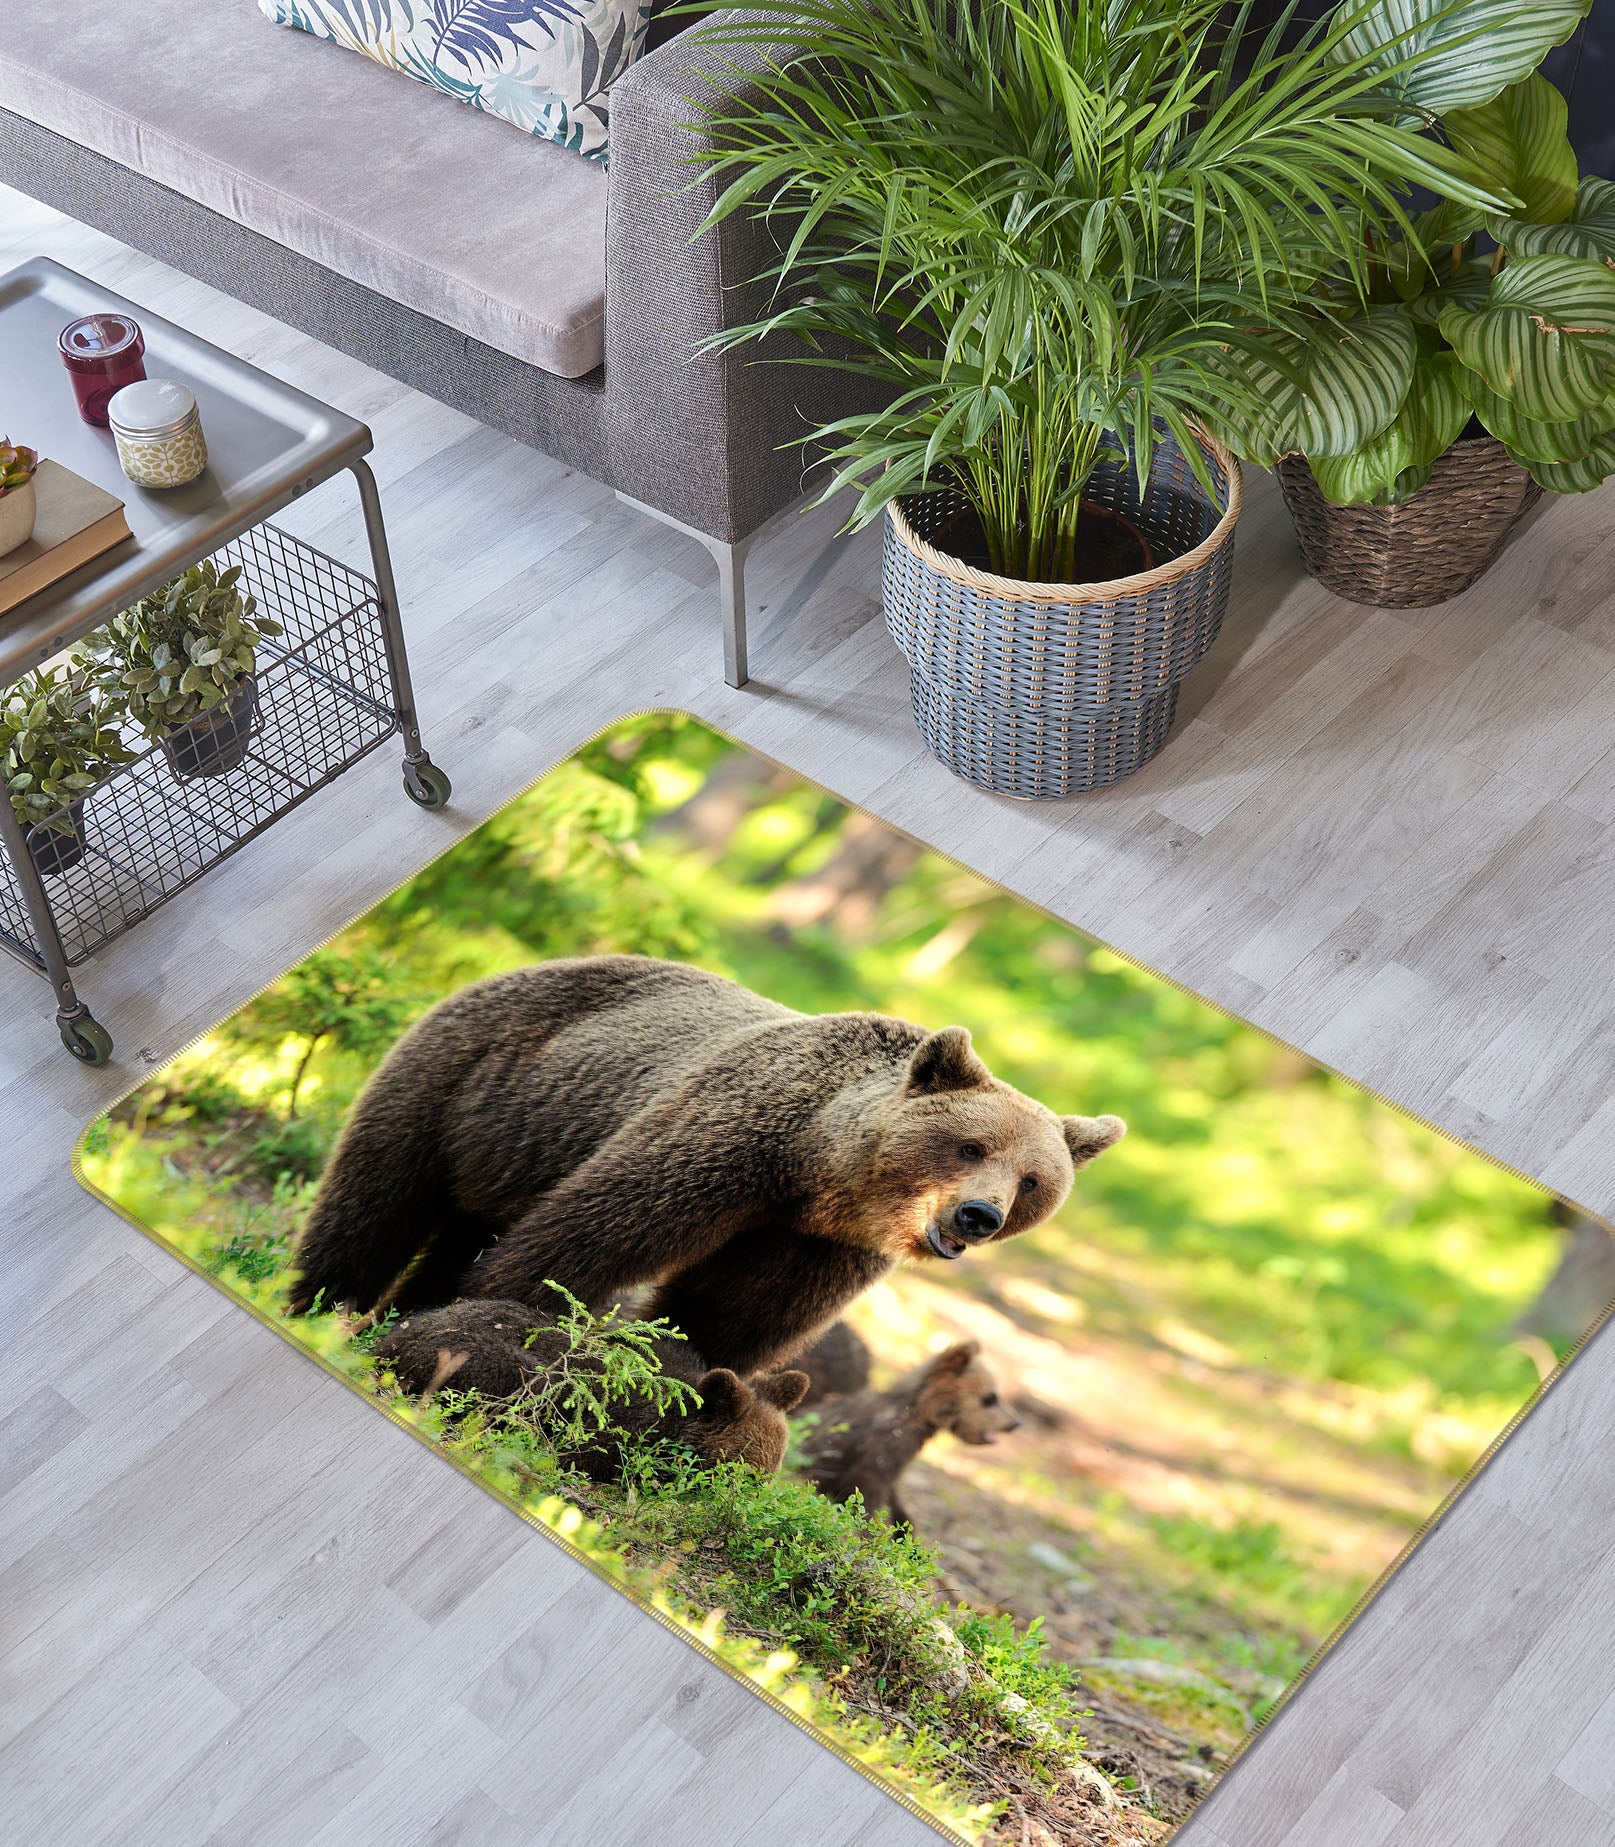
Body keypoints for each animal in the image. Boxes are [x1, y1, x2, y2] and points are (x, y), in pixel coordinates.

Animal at [288, 954, 1125, 1376]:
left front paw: (683, 1378)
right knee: (376, 1200)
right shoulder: (723, 1146)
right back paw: (318, 1302)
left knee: (458, 1220)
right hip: (468, 1079)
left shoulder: (816, 1243)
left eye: (1032, 1182)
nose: (977, 1215)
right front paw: (485, 1324)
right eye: (971, 1145)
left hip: (514, 1144)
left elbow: (732, 1314)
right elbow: (579, 1243)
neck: (814, 1171)